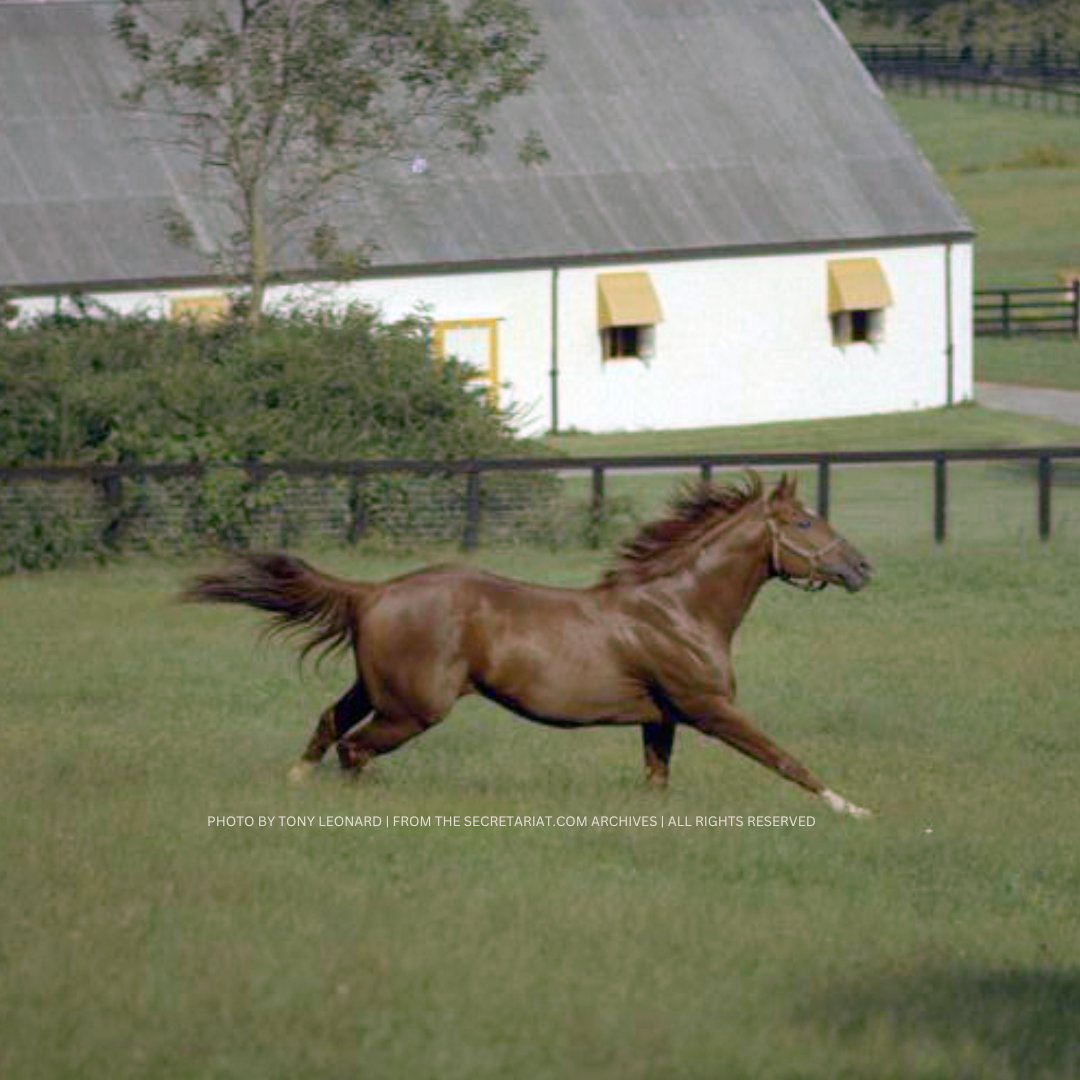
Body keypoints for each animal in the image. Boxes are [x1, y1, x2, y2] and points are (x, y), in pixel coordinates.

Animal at [183, 472, 875, 816]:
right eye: (805, 522)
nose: (862, 567)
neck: (678, 610)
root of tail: (372, 593)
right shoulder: (709, 708)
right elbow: (785, 759)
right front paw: (853, 810)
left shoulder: (661, 718)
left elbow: (656, 781)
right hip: (413, 709)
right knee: (355, 750)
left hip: (378, 689)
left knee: (330, 723)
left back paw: (296, 782)